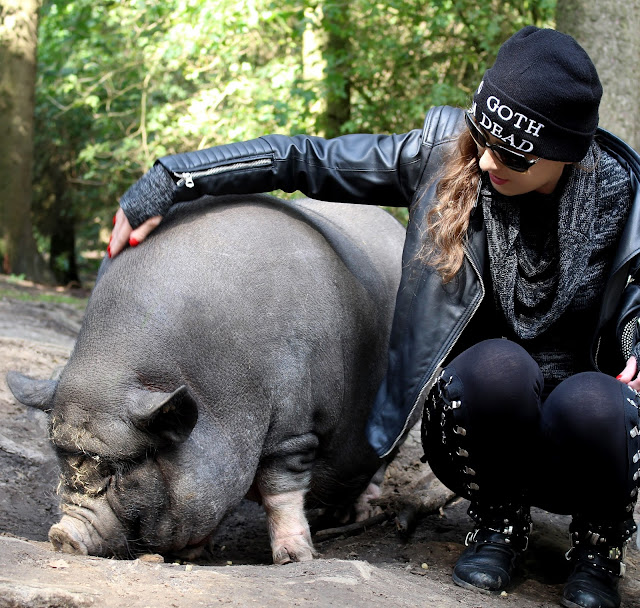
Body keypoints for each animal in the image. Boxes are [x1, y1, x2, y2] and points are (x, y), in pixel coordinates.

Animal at [7, 195, 402, 564]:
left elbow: (281, 491)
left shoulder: (294, 431)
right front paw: (197, 553)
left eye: (122, 468)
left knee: (379, 466)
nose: (62, 535)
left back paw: (358, 514)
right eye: (61, 459)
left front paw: (293, 558)